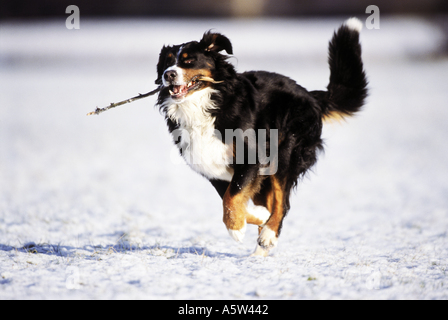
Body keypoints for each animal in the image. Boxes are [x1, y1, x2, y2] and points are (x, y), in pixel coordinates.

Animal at [154, 18, 368, 258]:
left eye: (188, 60)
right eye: (166, 63)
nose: (168, 74)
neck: (205, 106)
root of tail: (311, 95)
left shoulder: (251, 156)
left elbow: (232, 196)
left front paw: (236, 228)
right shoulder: (212, 167)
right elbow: (235, 197)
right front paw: (255, 217)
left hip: (284, 155)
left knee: (283, 203)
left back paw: (268, 235)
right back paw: (260, 248)